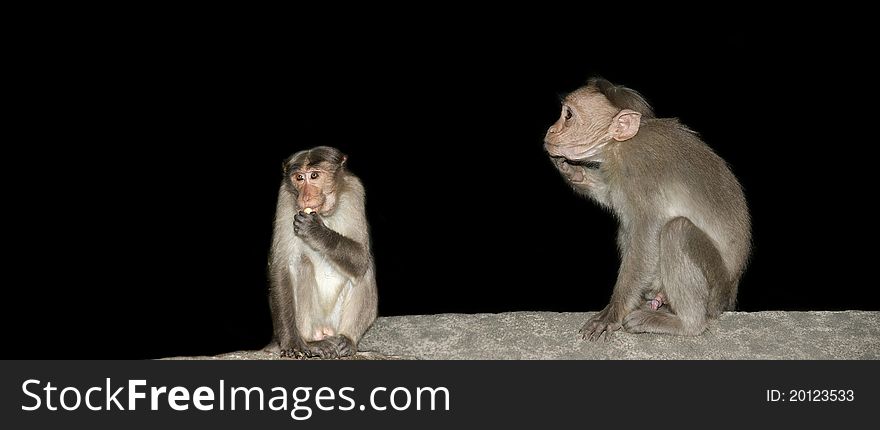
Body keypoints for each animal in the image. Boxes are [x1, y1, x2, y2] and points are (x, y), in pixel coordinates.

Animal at [268, 146, 378, 358]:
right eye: (299, 178)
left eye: (314, 175)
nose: (304, 196)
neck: (324, 213)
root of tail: (324, 330)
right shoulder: (285, 197)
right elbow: (282, 265)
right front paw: (291, 342)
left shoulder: (355, 190)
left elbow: (361, 257)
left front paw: (317, 232)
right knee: (301, 264)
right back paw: (310, 342)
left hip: (334, 322)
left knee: (364, 270)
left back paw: (347, 341)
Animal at [544, 77, 748, 340]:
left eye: (568, 116)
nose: (551, 130)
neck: (618, 145)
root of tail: (730, 291)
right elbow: (611, 195)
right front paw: (574, 172)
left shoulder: (639, 170)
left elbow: (647, 234)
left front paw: (613, 312)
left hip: (715, 289)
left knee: (676, 230)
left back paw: (686, 324)